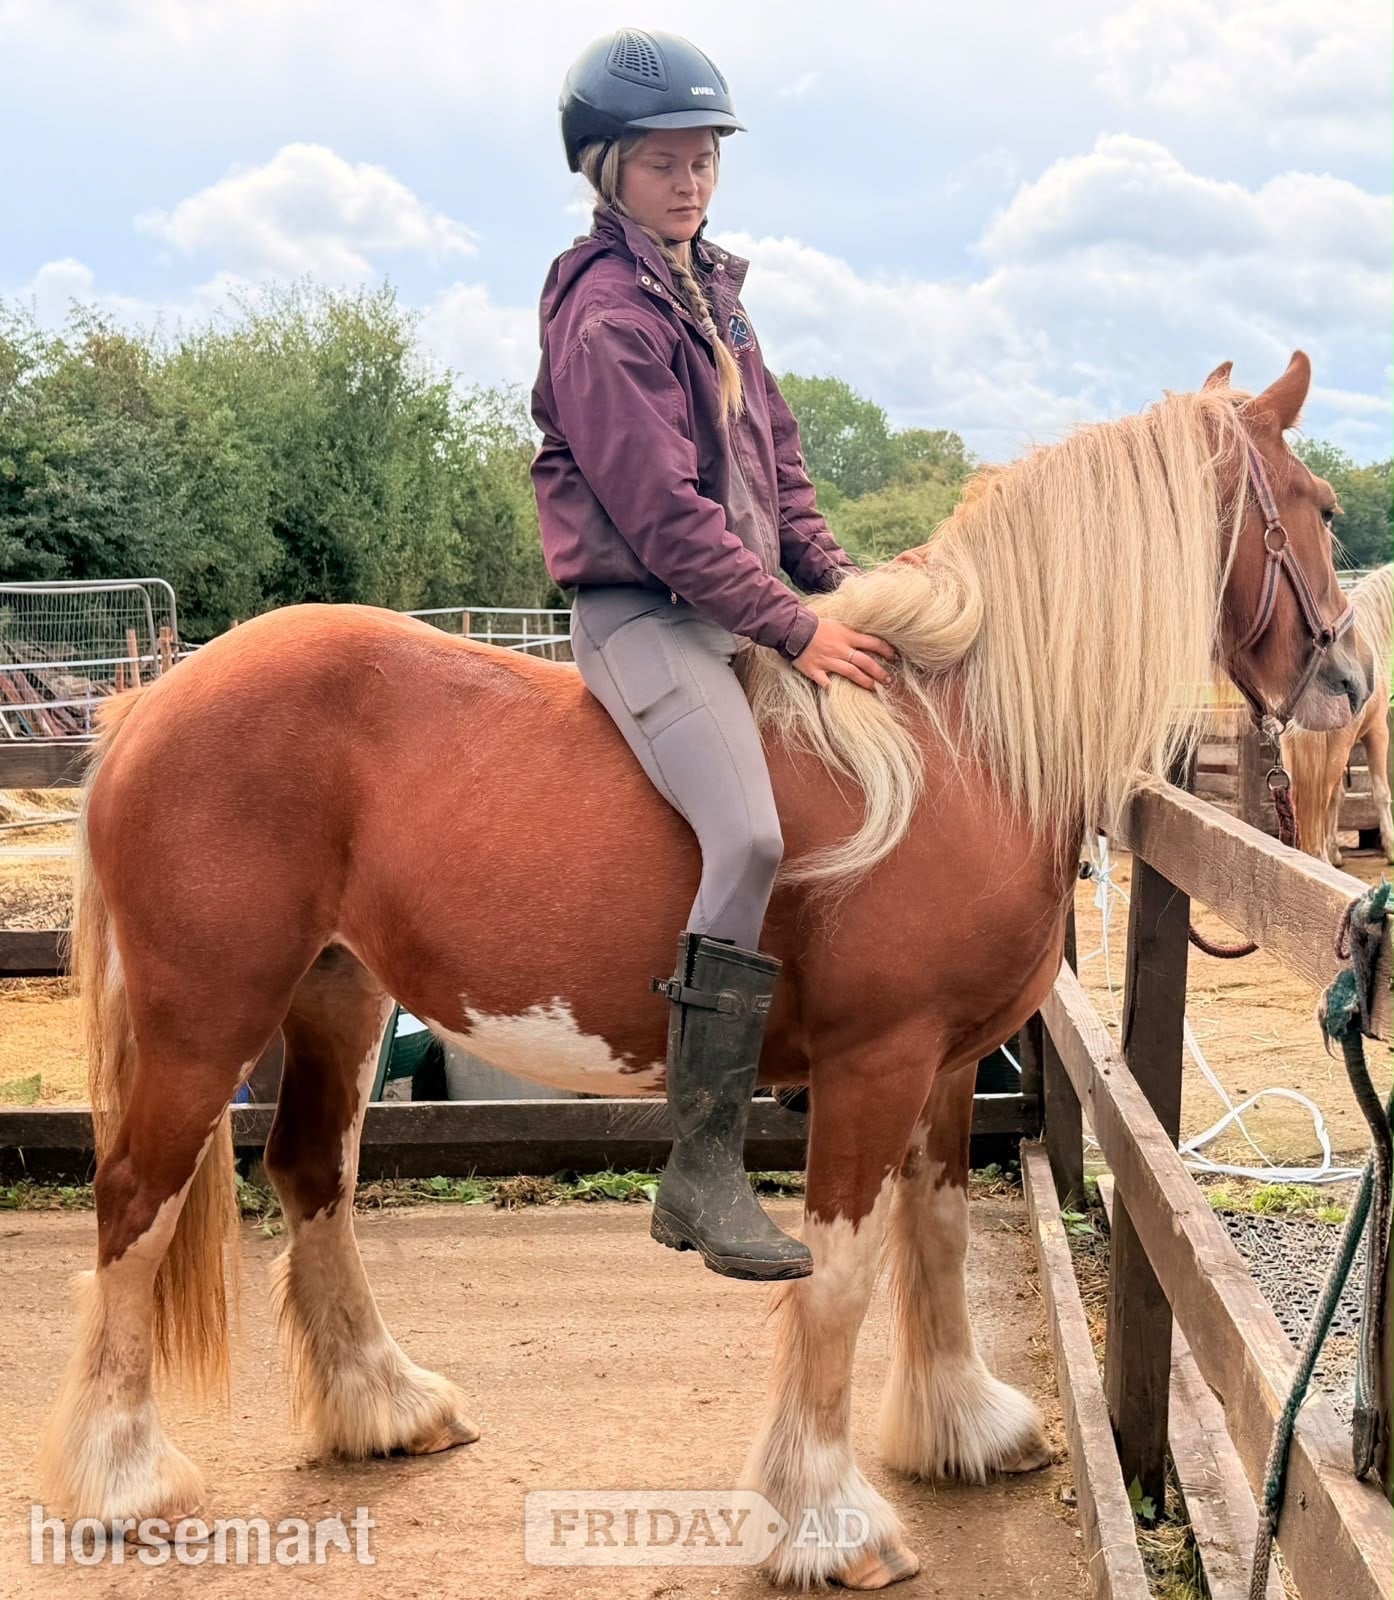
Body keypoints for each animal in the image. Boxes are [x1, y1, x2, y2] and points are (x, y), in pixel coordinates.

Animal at [37, 352, 1366, 1589]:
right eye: (1317, 504)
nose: (1347, 679)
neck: (956, 743)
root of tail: (154, 703)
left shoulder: (943, 1069)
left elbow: (933, 1234)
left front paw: (963, 1428)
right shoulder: (874, 1066)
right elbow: (839, 1273)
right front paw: (827, 1521)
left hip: (337, 995)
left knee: (313, 1173)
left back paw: (385, 1405)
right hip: (205, 1015)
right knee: (135, 1201)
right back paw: (122, 1477)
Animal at [1282, 563, 1392, 865]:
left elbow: (1340, 797)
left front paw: (1336, 851)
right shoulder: (1377, 732)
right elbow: (1381, 792)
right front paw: (1391, 847)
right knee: (1321, 795)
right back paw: (1319, 857)